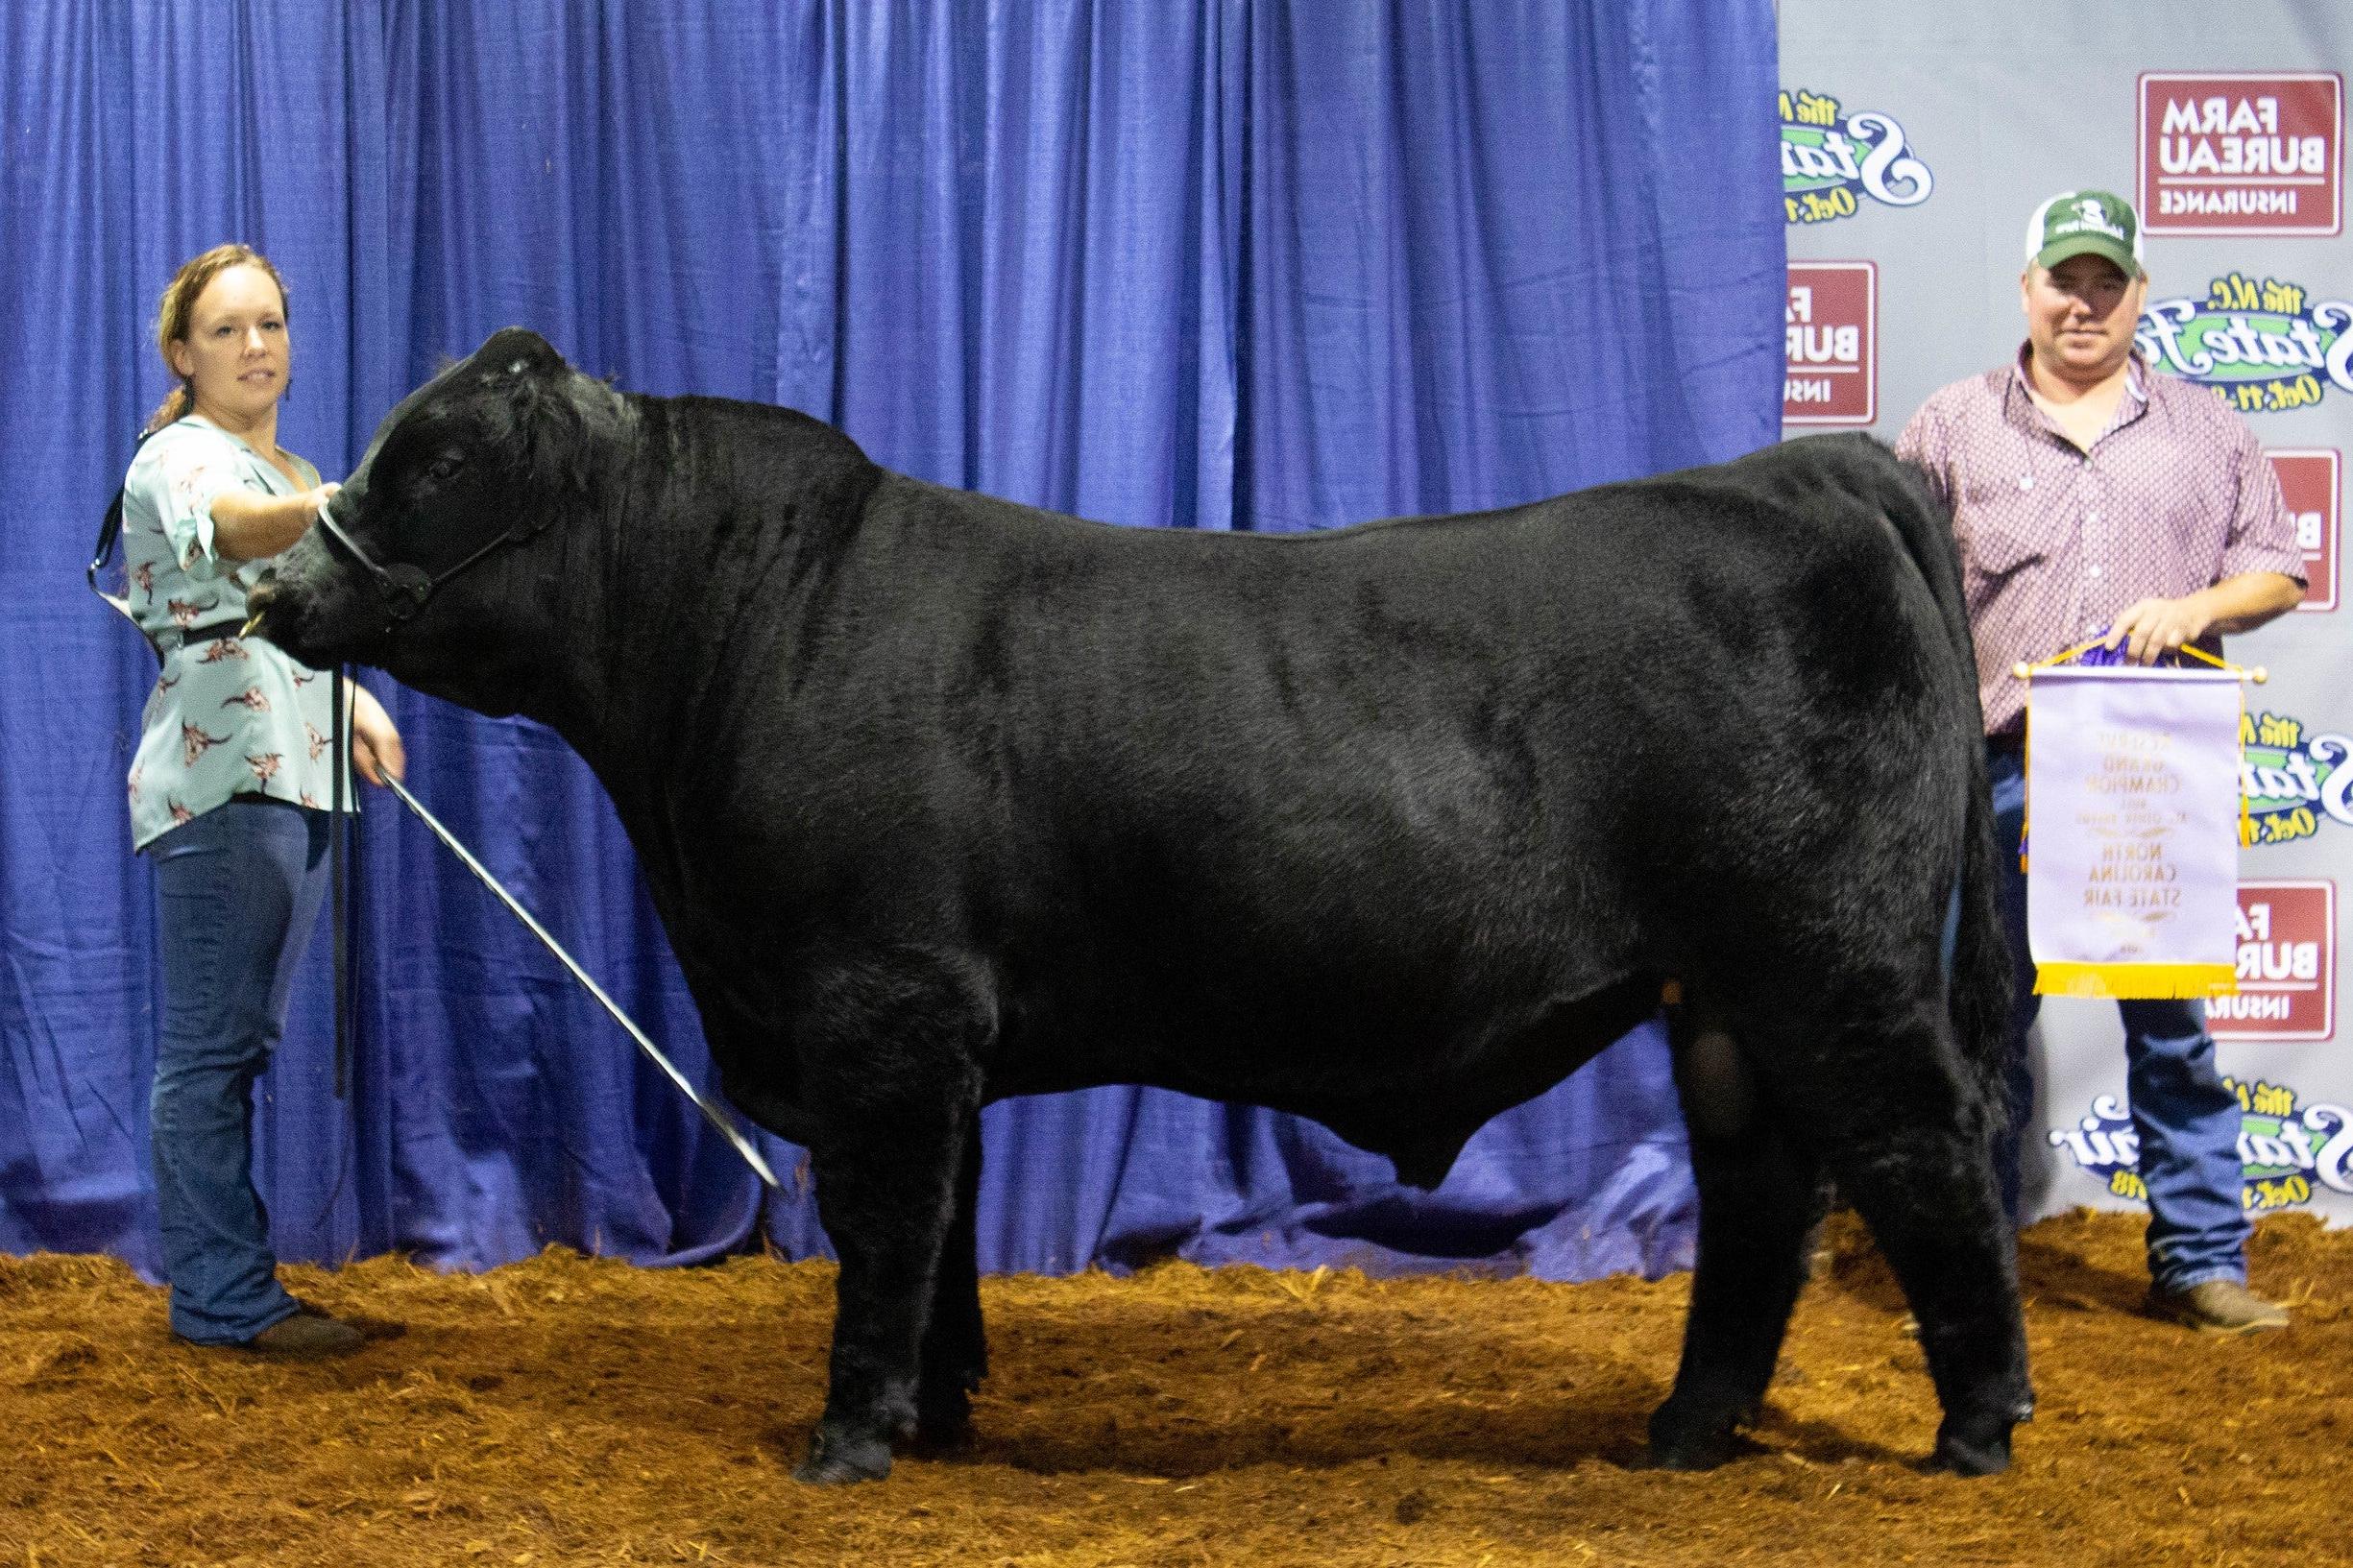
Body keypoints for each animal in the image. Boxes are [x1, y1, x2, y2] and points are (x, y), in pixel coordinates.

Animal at [248, 328, 2032, 1485]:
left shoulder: (876, 1010)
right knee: (1761, 1193)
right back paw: (1679, 1437)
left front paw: (847, 1441)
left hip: (1830, 964)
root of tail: (1800, 467)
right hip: (1726, 994)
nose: (277, 586)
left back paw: (1975, 1426)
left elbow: (885, 1229)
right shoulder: (928, 1034)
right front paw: (943, 1417)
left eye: (435, 462)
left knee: (1921, 1156)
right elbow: (947, 1227)